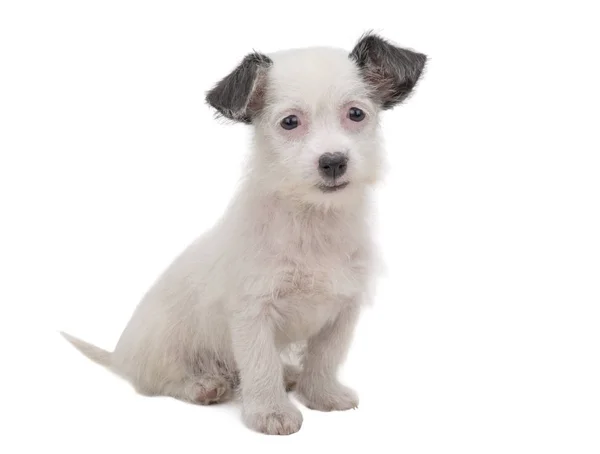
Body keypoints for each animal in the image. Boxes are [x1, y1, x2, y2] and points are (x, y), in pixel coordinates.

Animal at [62, 33, 426, 434]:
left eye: (356, 114)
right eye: (290, 122)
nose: (333, 161)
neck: (311, 221)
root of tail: (119, 356)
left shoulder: (342, 311)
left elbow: (326, 358)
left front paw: (322, 395)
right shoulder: (253, 313)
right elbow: (260, 364)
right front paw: (271, 412)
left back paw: (290, 374)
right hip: (165, 350)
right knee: (156, 381)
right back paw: (202, 385)